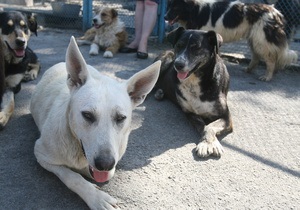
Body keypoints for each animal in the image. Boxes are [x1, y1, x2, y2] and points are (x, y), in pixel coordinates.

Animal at [30, 37, 161, 209]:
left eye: (121, 118)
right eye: (87, 115)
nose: (105, 164)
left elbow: (104, 173)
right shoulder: (41, 154)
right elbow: (72, 177)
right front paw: (97, 197)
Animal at [154, 27, 233, 158]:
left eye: (196, 48)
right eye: (179, 46)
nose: (177, 64)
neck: (194, 81)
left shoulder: (226, 116)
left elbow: (210, 126)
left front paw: (208, 143)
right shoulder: (190, 113)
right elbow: (203, 126)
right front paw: (208, 143)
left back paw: (160, 93)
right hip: (164, 60)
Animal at [164, 0, 298, 81]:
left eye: (175, 6)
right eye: (169, 5)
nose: (164, 17)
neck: (196, 10)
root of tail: (276, 12)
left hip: (262, 41)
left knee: (270, 59)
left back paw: (267, 76)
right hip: (254, 40)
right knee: (256, 56)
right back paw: (249, 69)